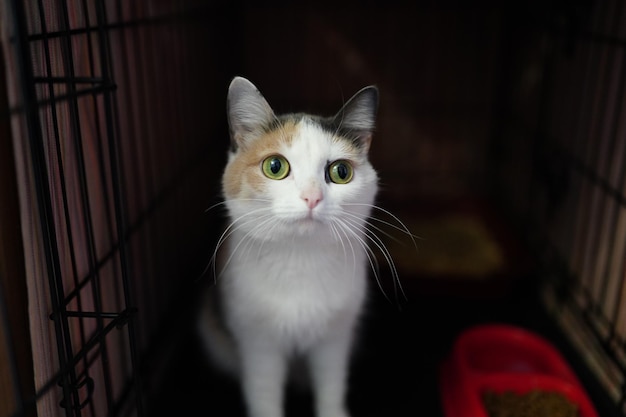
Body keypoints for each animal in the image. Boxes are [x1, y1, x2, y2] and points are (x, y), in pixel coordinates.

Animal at [199, 76, 386, 416]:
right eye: (275, 166)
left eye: (341, 172)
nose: (312, 197)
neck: (300, 258)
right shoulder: (259, 344)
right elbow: (264, 394)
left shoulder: (334, 339)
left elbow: (331, 385)